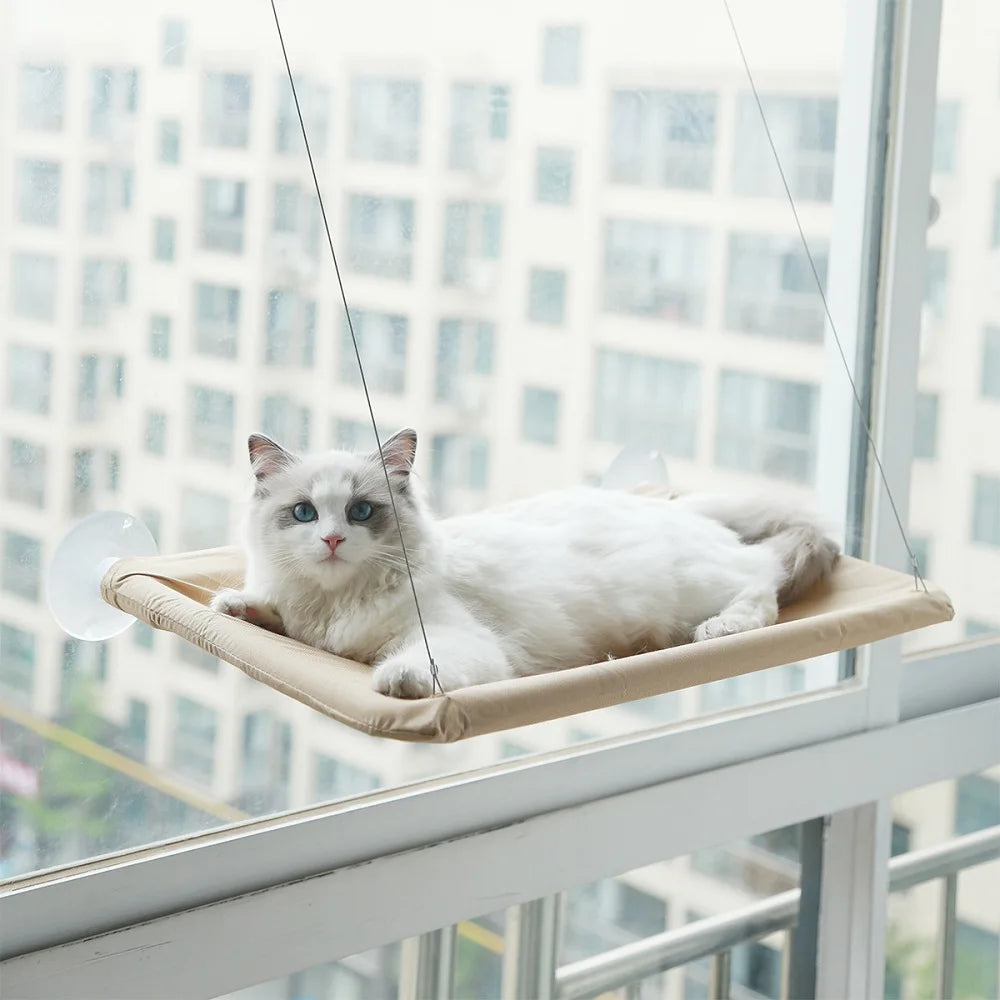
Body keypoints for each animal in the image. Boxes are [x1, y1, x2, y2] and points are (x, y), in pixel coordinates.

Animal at [215, 428, 840, 696]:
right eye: (303, 513)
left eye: (361, 511)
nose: (331, 541)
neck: (335, 604)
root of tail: (671, 506)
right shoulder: (305, 621)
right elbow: (272, 613)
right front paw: (237, 606)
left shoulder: (456, 639)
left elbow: (419, 663)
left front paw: (398, 680)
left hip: (697, 585)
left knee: (762, 582)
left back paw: (722, 628)